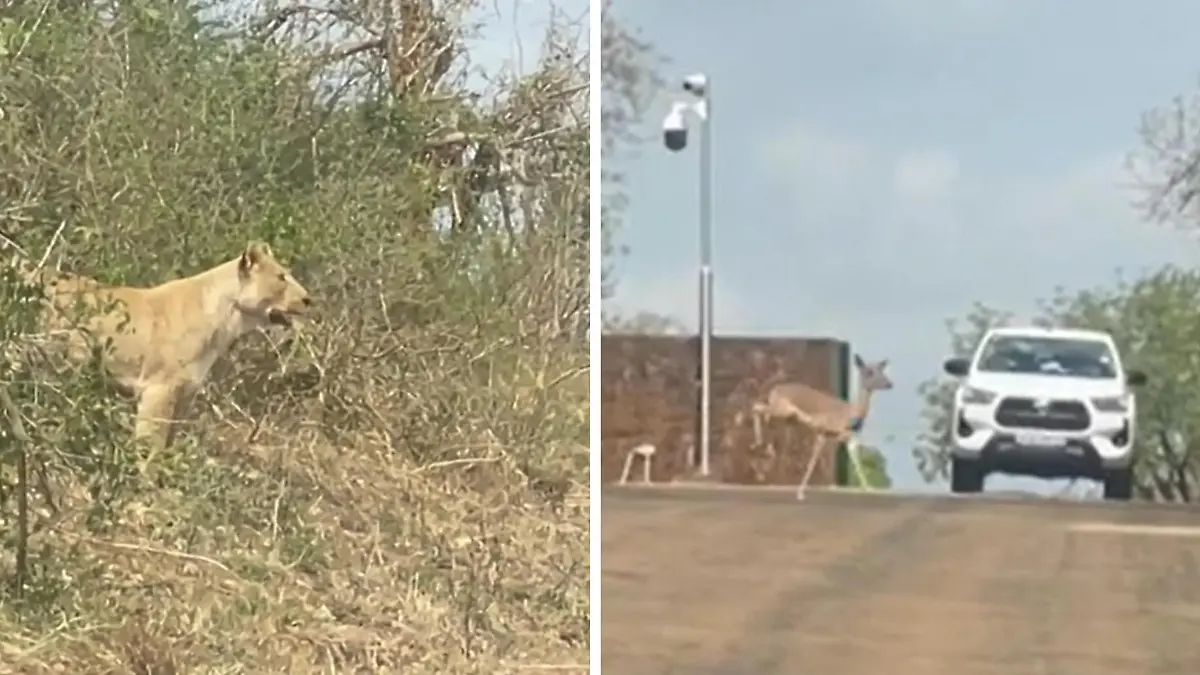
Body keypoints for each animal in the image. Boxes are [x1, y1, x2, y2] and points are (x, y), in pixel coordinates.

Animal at [748, 355, 893, 499]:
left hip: (788, 421)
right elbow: (813, 462)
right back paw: (757, 444)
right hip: (781, 411)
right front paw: (800, 493)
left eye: (881, 370)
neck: (850, 412)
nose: (889, 384)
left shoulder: (844, 439)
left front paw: (869, 488)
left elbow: (855, 460)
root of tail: (776, 389)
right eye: (869, 372)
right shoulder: (822, 434)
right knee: (756, 407)